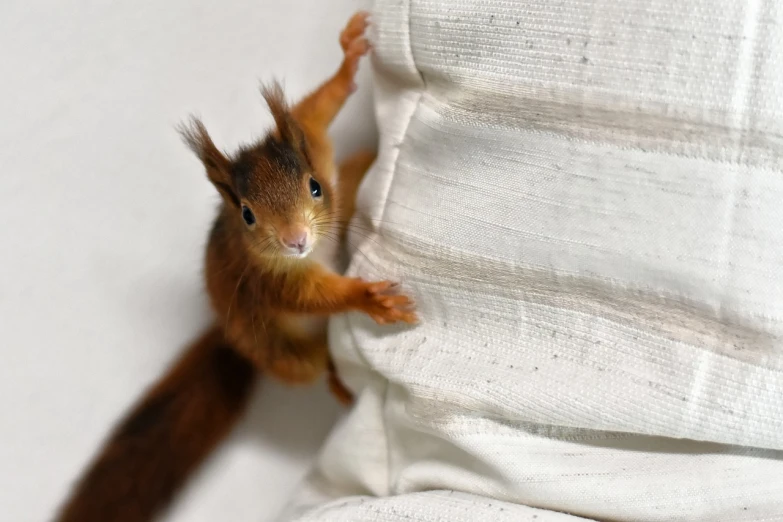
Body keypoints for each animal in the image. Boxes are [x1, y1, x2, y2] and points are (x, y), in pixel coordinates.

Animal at [54, 11, 416, 520]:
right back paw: (341, 387)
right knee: (320, 365)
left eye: (314, 186)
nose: (295, 240)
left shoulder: (316, 147)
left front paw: (348, 57)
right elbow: (313, 296)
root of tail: (226, 331)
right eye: (247, 214)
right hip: (287, 354)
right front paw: (370, 299)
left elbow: (316, 109)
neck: (308, 254)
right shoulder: (271, 282)